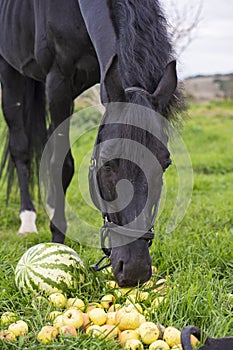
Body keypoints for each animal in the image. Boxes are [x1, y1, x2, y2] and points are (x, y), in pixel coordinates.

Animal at [0, 0, 180, 288]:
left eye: (165, 163)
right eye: (106, 163)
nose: (134, 269)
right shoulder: (58, 82)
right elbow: (62, 164)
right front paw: (57, 239)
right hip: (11, 73)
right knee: (21, 149)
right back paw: (27, 220)